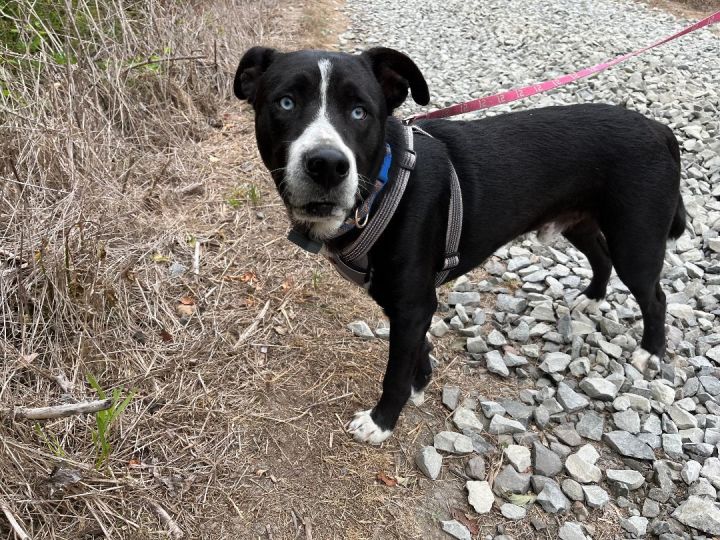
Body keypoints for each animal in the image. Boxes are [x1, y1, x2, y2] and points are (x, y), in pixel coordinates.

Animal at [235, 45, 688, 442]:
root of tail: (659, 130)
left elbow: (395, 372)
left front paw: (382, 422)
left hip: (636, 239)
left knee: (655, 296)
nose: (328, 165)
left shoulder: (413, 303)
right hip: (579, 221)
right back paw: (592, 298)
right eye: (286, 103)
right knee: (600, 254)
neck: (384, 184)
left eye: (360, 112)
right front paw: (421, 382)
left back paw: (650, 352)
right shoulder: (410, 302)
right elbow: (416, 351)